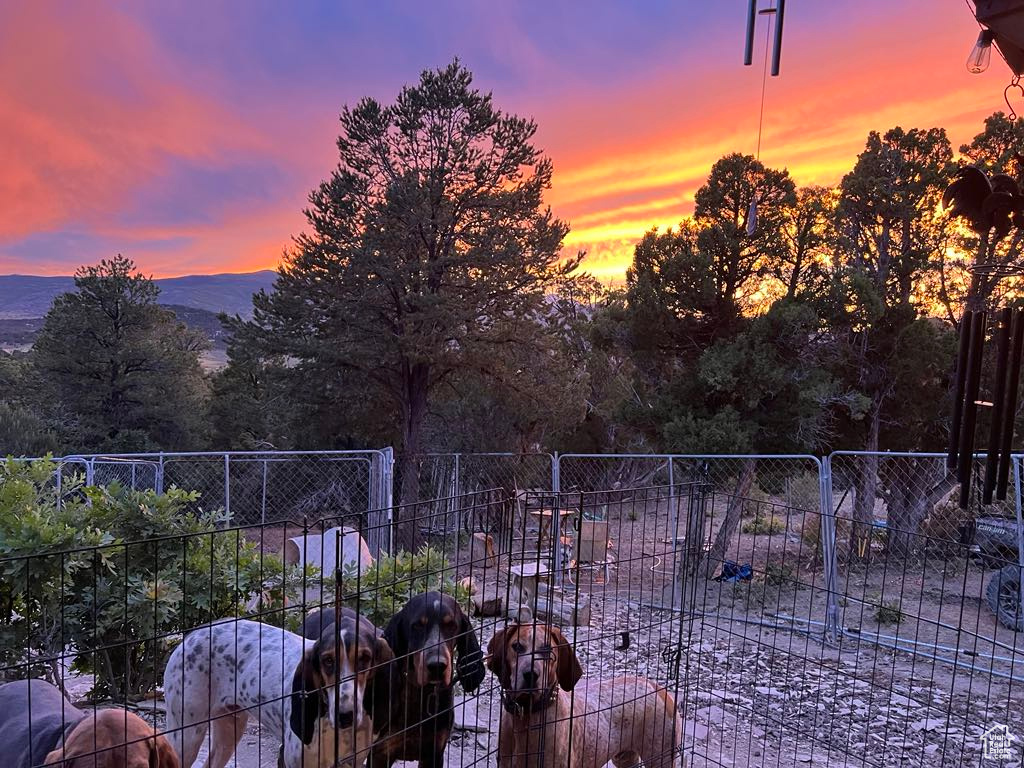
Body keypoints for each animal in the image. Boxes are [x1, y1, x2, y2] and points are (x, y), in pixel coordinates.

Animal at [485, 622, 679, 768]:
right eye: (517, 646)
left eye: (548, 650)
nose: (531, 674)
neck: (527, 716)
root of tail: (659, 689)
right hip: (625, 758)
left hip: (660, 757)